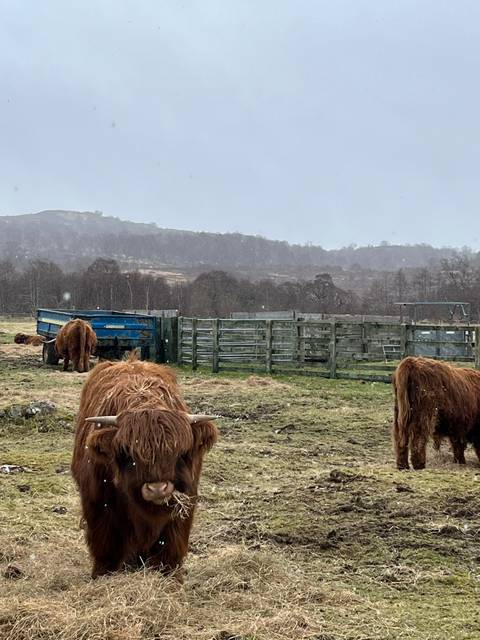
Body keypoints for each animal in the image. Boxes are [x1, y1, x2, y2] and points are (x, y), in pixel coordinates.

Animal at [71, 354, 218, 579]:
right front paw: (101, 576)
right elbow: (106, 549)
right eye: (129, 453)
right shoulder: (99, 506)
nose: (157, 488)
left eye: (179, 453)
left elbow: (169, 551)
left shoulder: (182, 509)